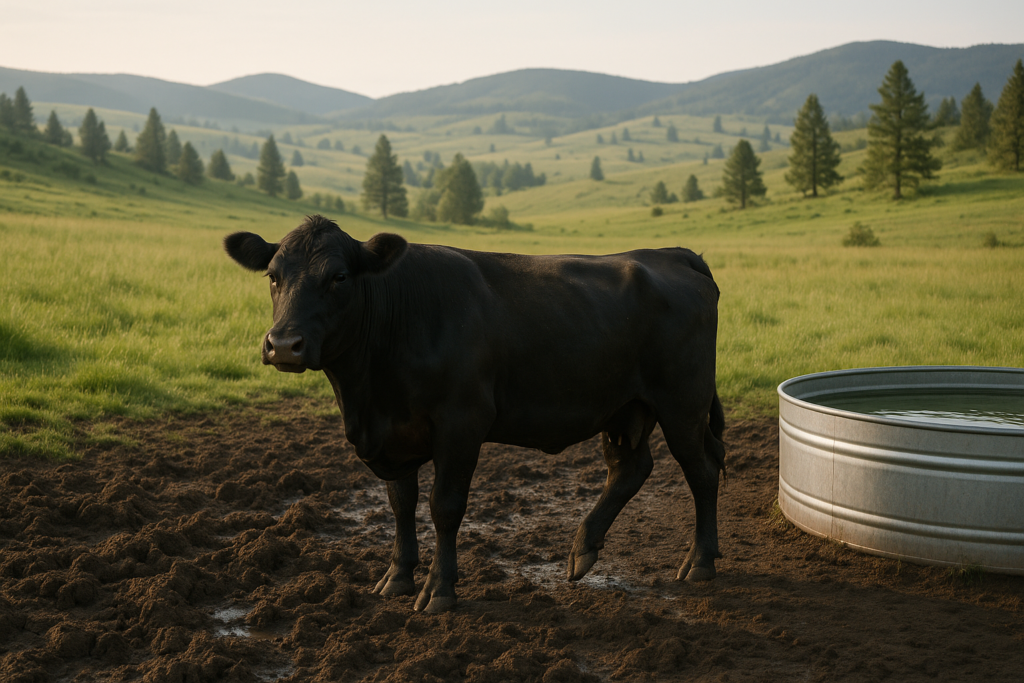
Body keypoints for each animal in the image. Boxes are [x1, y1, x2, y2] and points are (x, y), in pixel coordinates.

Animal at [224, 215, 725, 613]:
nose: (283, 345)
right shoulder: (394, 435)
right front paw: (397, 577)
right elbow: (400, 503)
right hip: (622, 407)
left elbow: (444, 506)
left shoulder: (461, 424)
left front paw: (439, 590)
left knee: (701, 470)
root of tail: (671, 254)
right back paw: (583, 549)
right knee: (630, 468)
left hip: (683, 404)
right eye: (273, 275)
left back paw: (700, 561)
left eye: (340, 277)